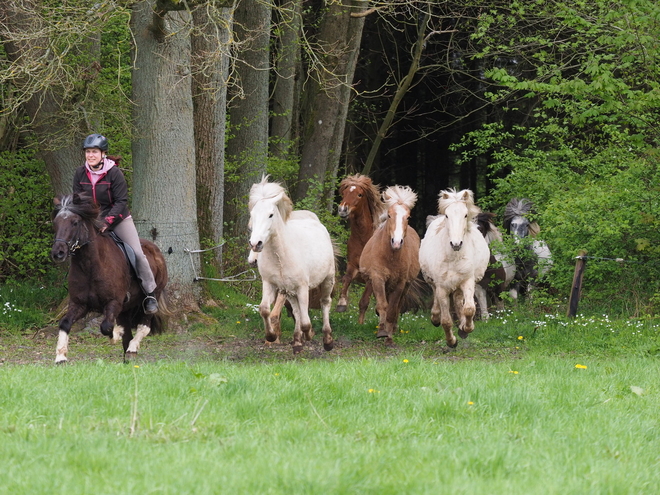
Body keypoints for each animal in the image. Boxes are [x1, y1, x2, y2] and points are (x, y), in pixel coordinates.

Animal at [50, 195, 169, 364]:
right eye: (56, 223)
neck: (90, 265)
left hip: (153, 294)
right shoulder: (79, 304)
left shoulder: (113, 302)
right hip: (126, 308)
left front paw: (116, 333)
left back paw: (132, 348)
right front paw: (60, 356)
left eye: (75, 222)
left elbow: (106, 327)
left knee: (144, 325)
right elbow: (65, 323)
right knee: (128, 335)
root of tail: (155, 249)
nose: (58, 253)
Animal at [248, 176, 336, 354]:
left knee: (325, 303)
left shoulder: (302, 287)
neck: (281, 254)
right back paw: (296, 342)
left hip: (327, 279)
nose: (255, 244)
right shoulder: (270, 284)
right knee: (296, 310)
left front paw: (309, 334)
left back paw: (327, 341)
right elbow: (265, 309)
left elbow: (306, 321)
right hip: (289, 291)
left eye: (271, 214)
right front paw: (271, 337)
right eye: (252, 214)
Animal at [336, 174, 386, 318]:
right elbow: (346, 278)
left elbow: (363, 303)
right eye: (344, 193)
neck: (363, 240)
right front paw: (341, 304)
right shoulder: (352, 265)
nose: (342, 209)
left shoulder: (371, 276)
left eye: (359, 194)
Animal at [358, 185, 420, 344]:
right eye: (390, 215)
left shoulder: (400, 283)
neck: (390, 256)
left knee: (398, 305)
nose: (396, 242)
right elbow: (382, 305)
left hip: (406, 285)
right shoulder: (378, 278)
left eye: (408, 217)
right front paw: (382, 331)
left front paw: (389, 336)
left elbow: (393, 309)